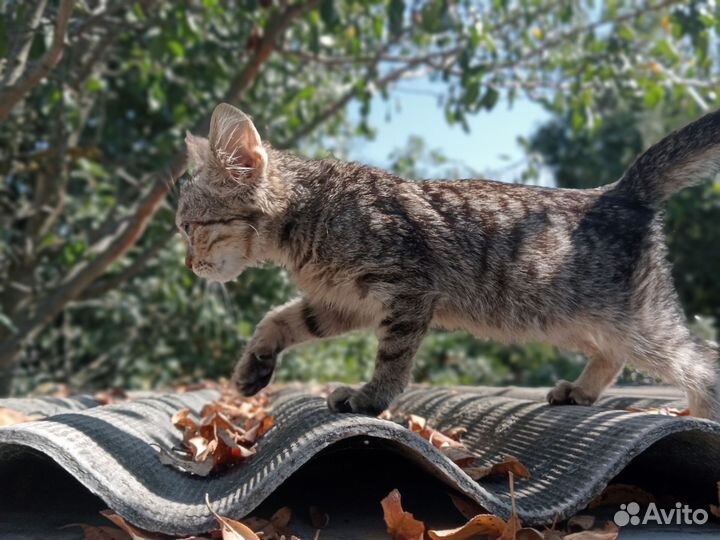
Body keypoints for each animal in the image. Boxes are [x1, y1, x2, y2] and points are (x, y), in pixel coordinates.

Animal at [177, 103, 720, 420]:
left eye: (187, 226)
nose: (187, 265)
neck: (311, 212)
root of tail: (618, 190)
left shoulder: (407, 289)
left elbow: (393, 358)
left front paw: (371, 397)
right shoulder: (343, 301)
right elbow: (278, 318)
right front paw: (253, 367)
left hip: (640, 321)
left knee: (701, 361)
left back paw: (700, 410)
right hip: (574, 318)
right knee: (612, 354)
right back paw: (582, 391)